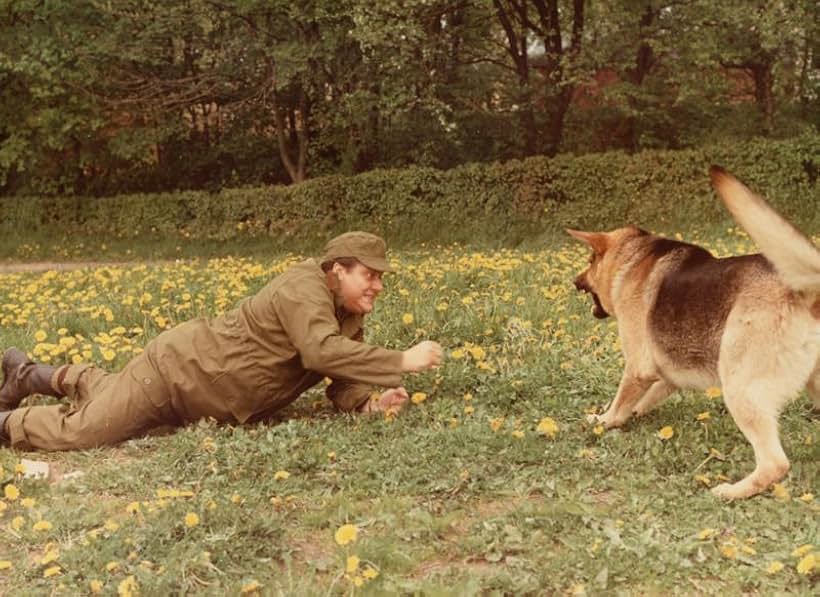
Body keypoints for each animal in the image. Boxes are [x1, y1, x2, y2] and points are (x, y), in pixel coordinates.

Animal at [568, 165, 816, 496]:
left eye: (589, 261)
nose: (574, 281)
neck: (630, 259)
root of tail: (807, 290)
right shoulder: (666, 374)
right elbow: (643, 399)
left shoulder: (638, 367)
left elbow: (619, 402)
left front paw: (603, 420)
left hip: (739, 385)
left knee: (774, 463)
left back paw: (732, 492)